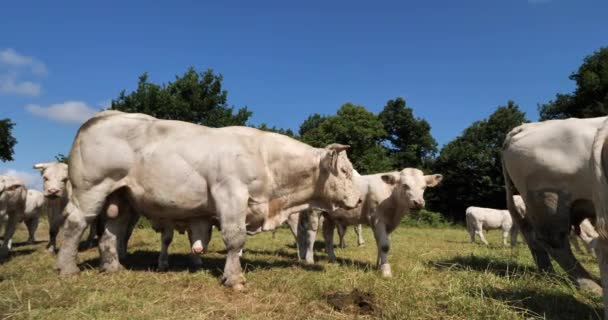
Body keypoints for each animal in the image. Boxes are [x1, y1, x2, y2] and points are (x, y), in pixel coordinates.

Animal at [55, 110, 360, 290]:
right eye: (345, 171)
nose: (358, 200)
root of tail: (101, 116)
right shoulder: (231, 195)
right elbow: (235, 240)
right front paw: (234, 279)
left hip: (120, 198)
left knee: (110, 232)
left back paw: (113, 267)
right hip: (91, 191)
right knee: (75, 225)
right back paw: (68, 269)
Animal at [296, 168, 442, 278]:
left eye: (424, 187)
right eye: (405, 185)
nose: (418, 203)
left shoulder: (388, 224)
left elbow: (381, 244)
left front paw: (379, 265)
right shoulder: (377, 219)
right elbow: (384, 246)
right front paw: (386, 271)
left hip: (330, 216)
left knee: (328, 235)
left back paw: (333, 259)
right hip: (315, 211)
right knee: (311, 234)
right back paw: (309, 259)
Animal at [502, 115, 604, 296]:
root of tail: (524, 127)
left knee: (532, 234)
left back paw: (548, 273)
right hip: (550, 197)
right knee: (553, 241)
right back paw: (591, 286)